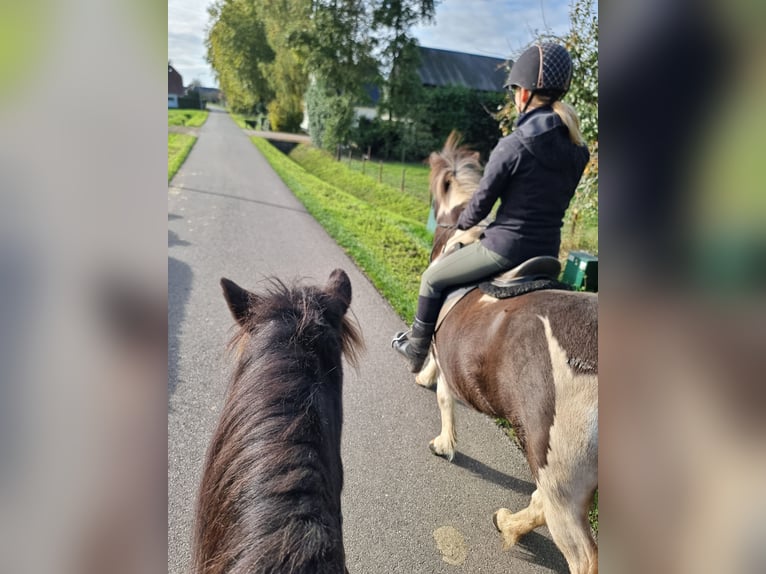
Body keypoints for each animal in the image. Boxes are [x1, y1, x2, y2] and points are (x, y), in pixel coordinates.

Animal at [416, 133, 598, 574]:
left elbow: (444, 396)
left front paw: (443, 441)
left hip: (563, 474)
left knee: (580, 550)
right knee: (539, 503)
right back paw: (509, 525)